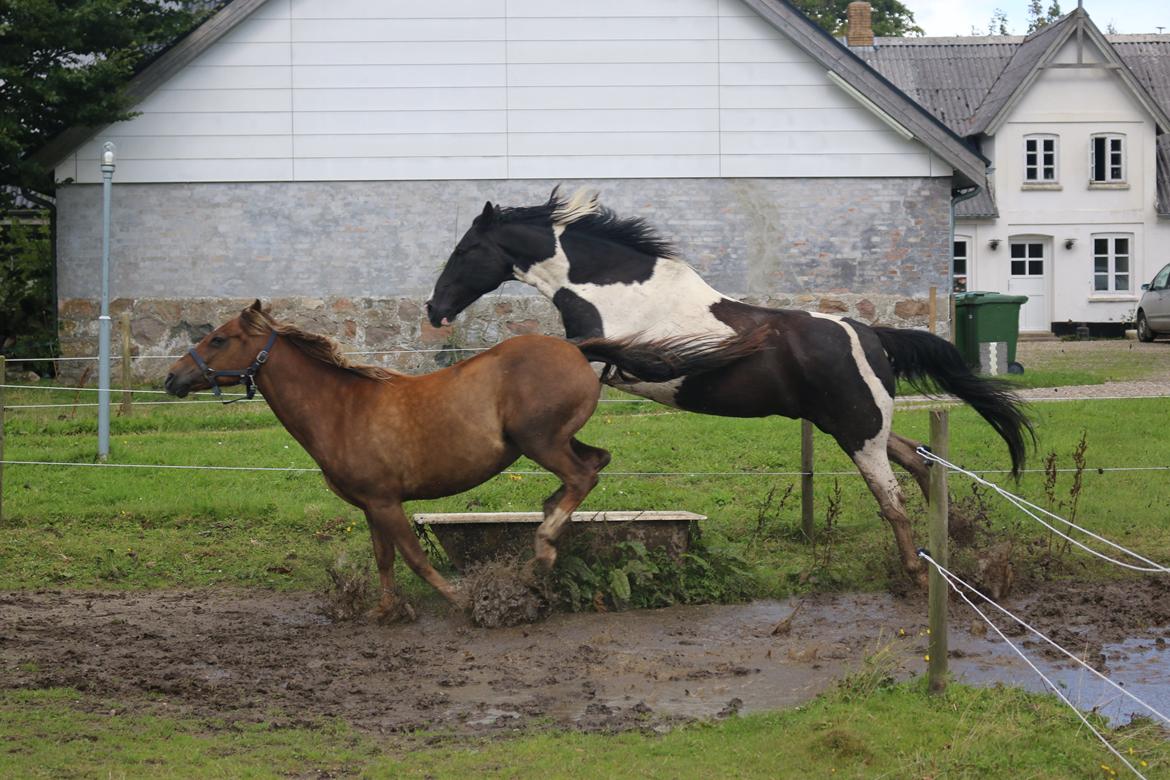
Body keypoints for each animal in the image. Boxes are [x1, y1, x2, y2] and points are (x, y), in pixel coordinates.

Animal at [167, 301, 767, 617]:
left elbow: (413, 556)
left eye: (219, 339)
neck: (342, 407)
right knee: (596, 462)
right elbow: (384, 559)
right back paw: (546, 532)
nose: (171, 379)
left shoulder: (386, 502)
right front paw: (386, 612)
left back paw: (542, 549)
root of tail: (576, 349)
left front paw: (460, 599)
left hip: (539, 441)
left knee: (582, 475)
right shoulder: (371, 504)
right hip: (554, 440)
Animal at [425, 189, 1029, 582]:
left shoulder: (607, 356)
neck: (612, 289)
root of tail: (870, 332)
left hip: (858, 431)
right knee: (919, 460)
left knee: (894, 498)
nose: (434, 309)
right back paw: (950, 539)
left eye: (464, 251)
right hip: (853, 425)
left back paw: (917, 572)